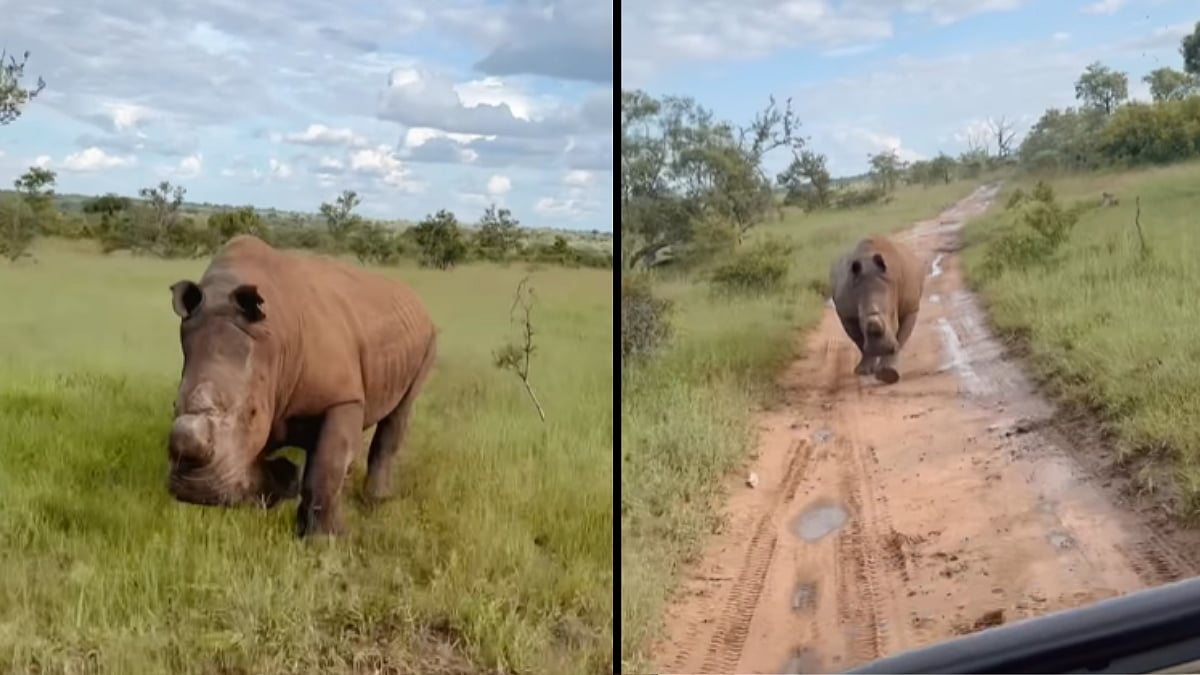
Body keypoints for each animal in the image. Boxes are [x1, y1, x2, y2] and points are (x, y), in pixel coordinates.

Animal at [166, 235, 437, 537]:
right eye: (174, 405)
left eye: (252, 413)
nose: (196, 490)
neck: (274, 341)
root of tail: (414, 298)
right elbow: (259, 470)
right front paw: (286, 482)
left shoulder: (342, 398)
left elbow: (326, 467)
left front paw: (325, 539)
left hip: (429, 336)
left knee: (399, 411)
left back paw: (375, 501)